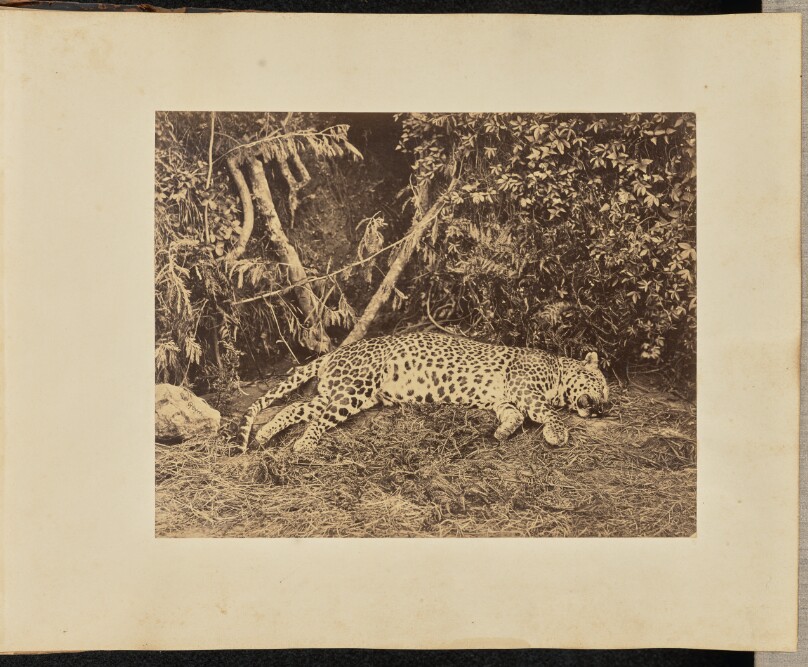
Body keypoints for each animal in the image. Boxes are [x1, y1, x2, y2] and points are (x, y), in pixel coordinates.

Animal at [235, 331, 611, 455]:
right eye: (603, 387)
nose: (603, 409)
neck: (558, 370)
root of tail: (335, 352)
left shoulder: (507, 399)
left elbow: (514, 416)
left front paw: (503, 432)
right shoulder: (525, 389)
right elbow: (549, 412)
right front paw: (557, 433)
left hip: (342, 393)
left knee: (296, 408)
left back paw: (265, 436)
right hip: (353, 389)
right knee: (314, 420)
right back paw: (304, 444)